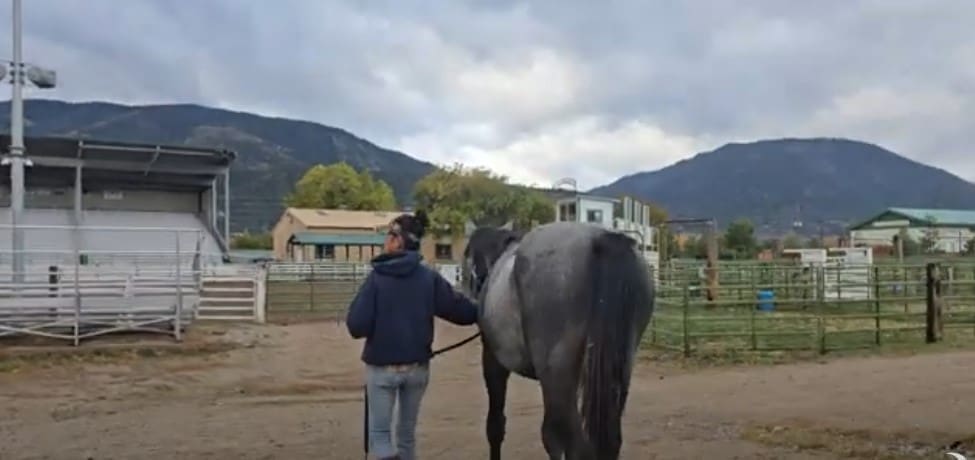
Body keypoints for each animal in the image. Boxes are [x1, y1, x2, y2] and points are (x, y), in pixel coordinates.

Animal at [464, 221, 656, 458]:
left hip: (557, 378)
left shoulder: (493, 362)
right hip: (619, 371)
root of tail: (602, 239)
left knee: (565, 440)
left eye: (467, 254)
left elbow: (496, 426)